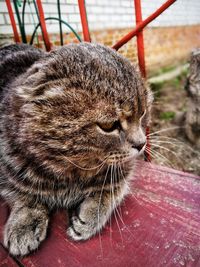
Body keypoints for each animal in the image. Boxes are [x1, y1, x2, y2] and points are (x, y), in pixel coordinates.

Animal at [0, 43, 152, 256]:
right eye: (108, 126)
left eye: (143, 113)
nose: (141, 144)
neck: (73, 171)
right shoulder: (8, 171)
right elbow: (23, 195)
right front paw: (24, 224)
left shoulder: (123, 171)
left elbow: (112, 190)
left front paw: (90, 216)